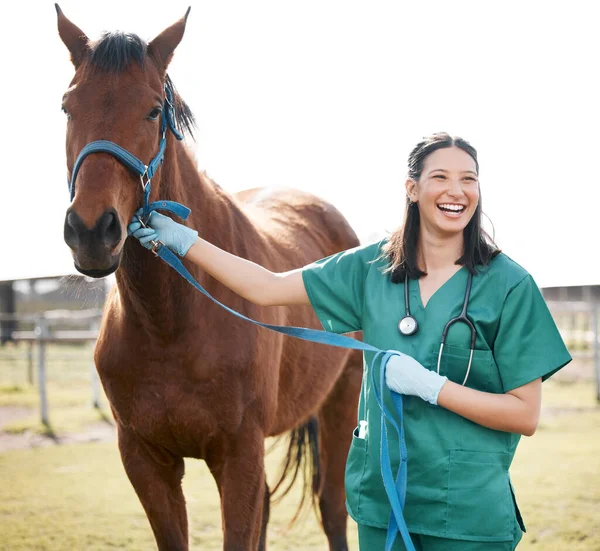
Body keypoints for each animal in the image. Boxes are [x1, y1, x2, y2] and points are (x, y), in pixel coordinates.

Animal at [57, 7, 360, 551]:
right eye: (68, 107)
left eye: (153, 111)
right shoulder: (146, 462)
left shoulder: (237, 456)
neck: (171, 322)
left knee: (331, 506)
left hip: (340, 404)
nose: (91, 231)